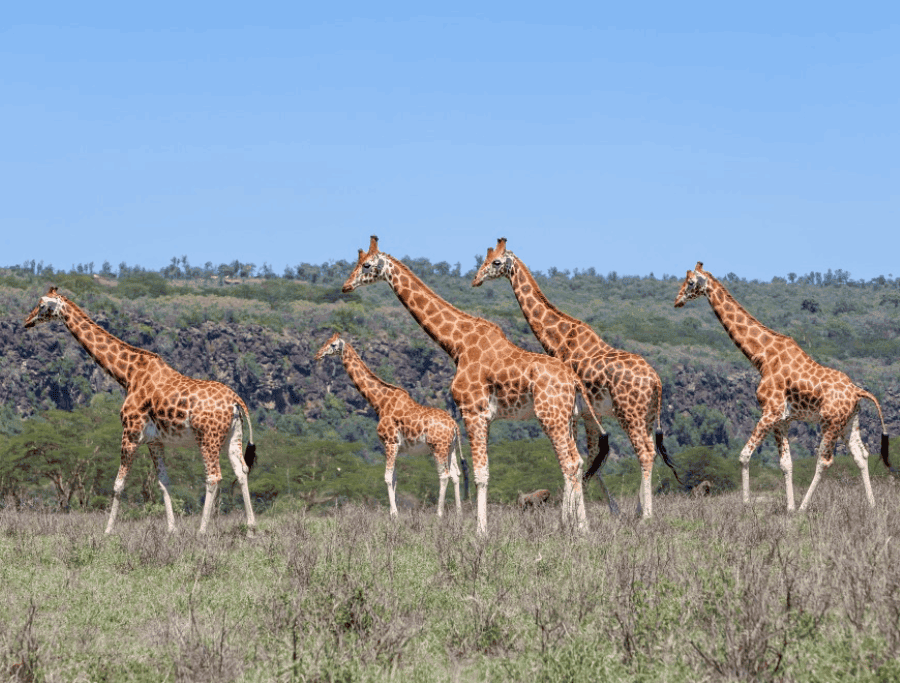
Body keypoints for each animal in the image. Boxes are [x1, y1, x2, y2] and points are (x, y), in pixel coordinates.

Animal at [24, 287, 257, 534]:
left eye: (42, 304)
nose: (27, 321)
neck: (128, 374)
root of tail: (236, 401)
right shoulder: (155, 441)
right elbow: (163, 482)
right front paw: (171, 530)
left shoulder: (130, 433)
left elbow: (118, 484)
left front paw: (107, 531)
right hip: (233, 435)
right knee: (241, 471)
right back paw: (251, 529)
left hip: (207, 438)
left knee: (213, 477)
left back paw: (202, 531)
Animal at [314, 331, 466, 518]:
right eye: (326, 341)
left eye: (333, 345)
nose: (317, 355)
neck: (380, 403)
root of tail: (455, 426)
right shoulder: (397, 447)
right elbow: (394, 478)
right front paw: (395, 513)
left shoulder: (390, 442)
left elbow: (387, 478)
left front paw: (393, 514)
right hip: (450, 448)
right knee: (455, 474)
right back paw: (459, 514)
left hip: (437, 447)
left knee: (444, 475)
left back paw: (439, 514)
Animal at [342, 236, 606, 535]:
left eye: (366, 265)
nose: (346, 286)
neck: (457, 344)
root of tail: (574, 380)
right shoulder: (485, 416)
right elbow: (484, 471)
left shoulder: (472, 410)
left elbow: (480, 474)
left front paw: (480, 531)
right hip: (568, 416)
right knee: (577, 461)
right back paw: (579, 526)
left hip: (551, 416)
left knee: (570, 462)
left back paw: (573, 527)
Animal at [472, 237, 682, 518]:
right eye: (482, 260)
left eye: (495, 262)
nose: (476, 279)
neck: (560, 339)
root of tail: (657, 381)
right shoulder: (587, 414)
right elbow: (592, 458)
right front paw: (611, 512)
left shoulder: (573, 411)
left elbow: (584, 458)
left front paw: (579, 512)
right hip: (647, 415)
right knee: (650, 451)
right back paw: (639, 510)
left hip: (629, 413)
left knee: (646, 453)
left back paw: (645, 516)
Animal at [674, 262, 891, 510]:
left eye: (691, 282)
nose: (677, 300)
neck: (761, 356)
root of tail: (857, 391)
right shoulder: (782, 420)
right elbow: (786, 463)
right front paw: (789, 508)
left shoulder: (770, 412)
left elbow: (744, 455)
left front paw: (747, 506)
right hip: (849, 422)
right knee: (861, 455)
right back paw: (871, 505)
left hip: (830, 422)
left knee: (825, 460)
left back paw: (805, 507)